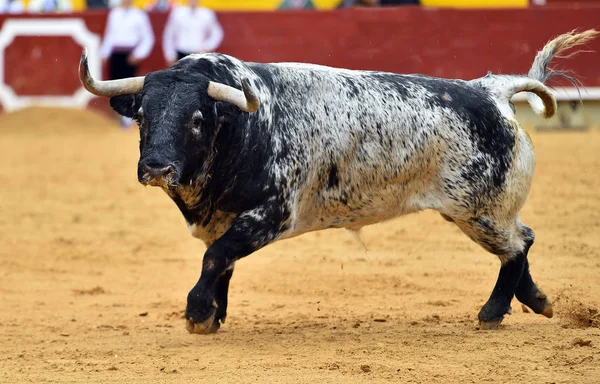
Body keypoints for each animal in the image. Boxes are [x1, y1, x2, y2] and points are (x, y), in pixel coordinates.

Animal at [78, 29, 596, 332]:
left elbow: (215, 257)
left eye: (198, 120)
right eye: (142, 116)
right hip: (483, 212)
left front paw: (198, 313)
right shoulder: (225, 219)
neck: (246, 125)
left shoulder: (271, 215)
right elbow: (222, 261)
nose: (157, 168)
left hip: (478, 210)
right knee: (522, 240)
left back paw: (491, 314)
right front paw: (215, 314)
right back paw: (537, 301)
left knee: (517, 245)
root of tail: (490, 90)